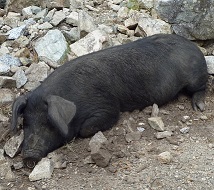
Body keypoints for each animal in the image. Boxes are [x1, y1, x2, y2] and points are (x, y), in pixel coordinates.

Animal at [11, 34, 207, 168]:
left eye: (49, 123)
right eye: (26, 123)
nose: (29, 156)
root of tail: (195, 47)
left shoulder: (107, 107)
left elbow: (86, 128)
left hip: (195, 79)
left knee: (202, 87)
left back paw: (199, 107)